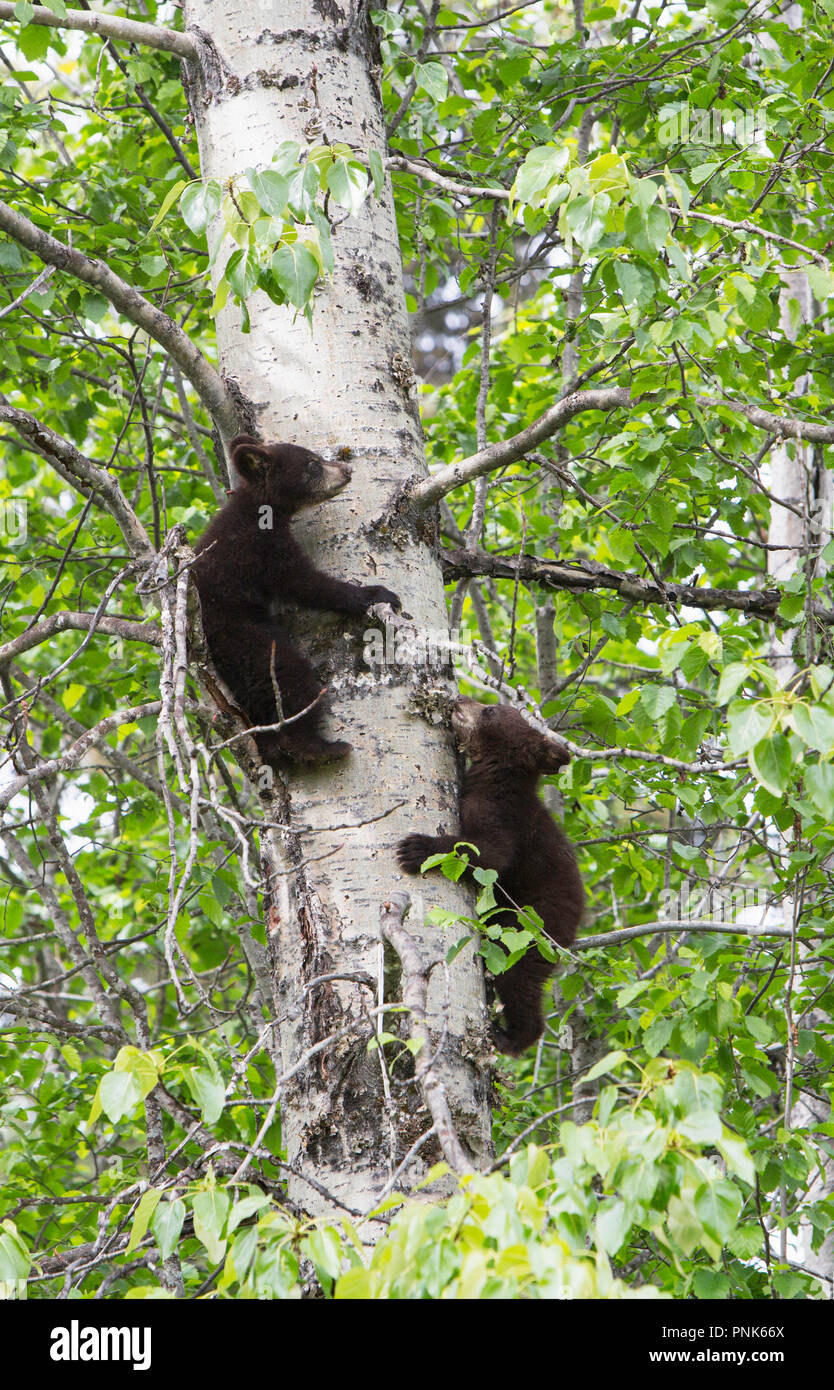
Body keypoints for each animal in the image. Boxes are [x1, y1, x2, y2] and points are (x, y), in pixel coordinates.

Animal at [193, 433, 401, 767]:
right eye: (312, 464)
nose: (346, 470)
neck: (261, 509)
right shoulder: (261, 548)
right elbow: (306, 583)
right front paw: (375, 593)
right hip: (244, 639)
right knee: (289, 679)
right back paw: (318, 747)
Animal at [396, 697, 584, 1055]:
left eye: (490, 710)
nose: (459, 699)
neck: (498, 776)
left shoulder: (499, 813)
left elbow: (491, 856)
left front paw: (417, 848)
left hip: (531, 926)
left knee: (517, 978)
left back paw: (508, 1037)